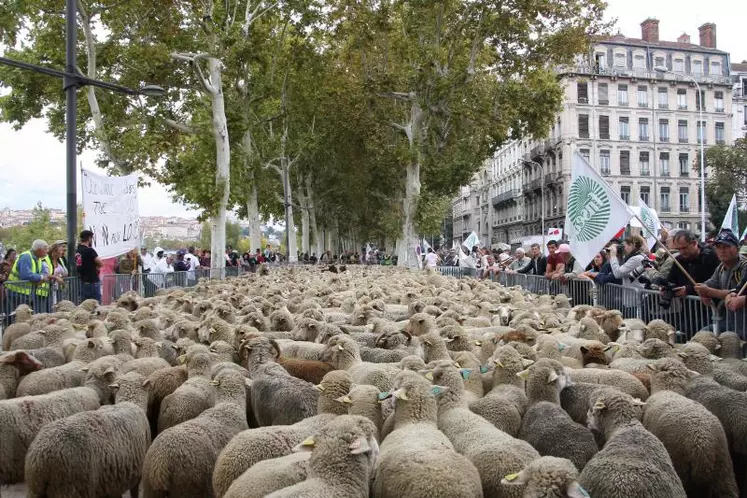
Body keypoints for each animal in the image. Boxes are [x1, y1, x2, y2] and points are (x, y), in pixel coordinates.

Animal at [24, 370, 151, 498]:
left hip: (35, 490)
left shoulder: (114, 483)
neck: (130, 402)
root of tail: (41, 458)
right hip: (70, 489)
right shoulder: (135, 474)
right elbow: (134, 492)